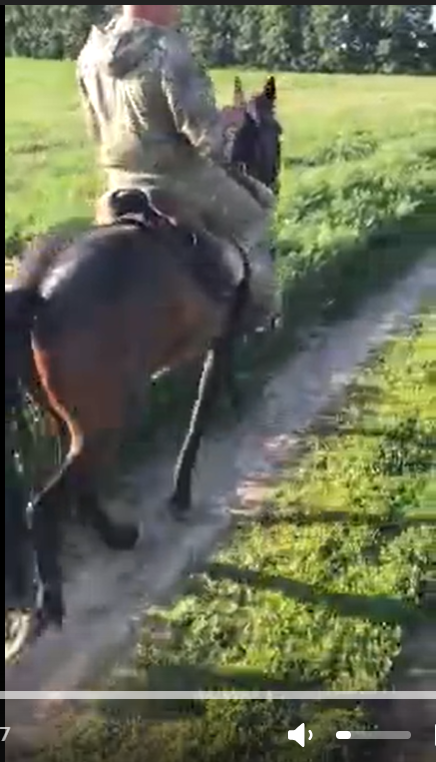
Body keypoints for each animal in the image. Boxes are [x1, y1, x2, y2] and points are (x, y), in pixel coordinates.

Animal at [5, 75, 282, 655]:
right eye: (277, 133)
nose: (271, 181)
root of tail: (38, 289)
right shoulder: (222, 335)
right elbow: (202, 409)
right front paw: (181, 492)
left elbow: (213, 391)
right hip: (111, 414)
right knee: (47, 501)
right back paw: (53, 602)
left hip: (68, 415)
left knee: (77, 483)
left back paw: (116, 536)